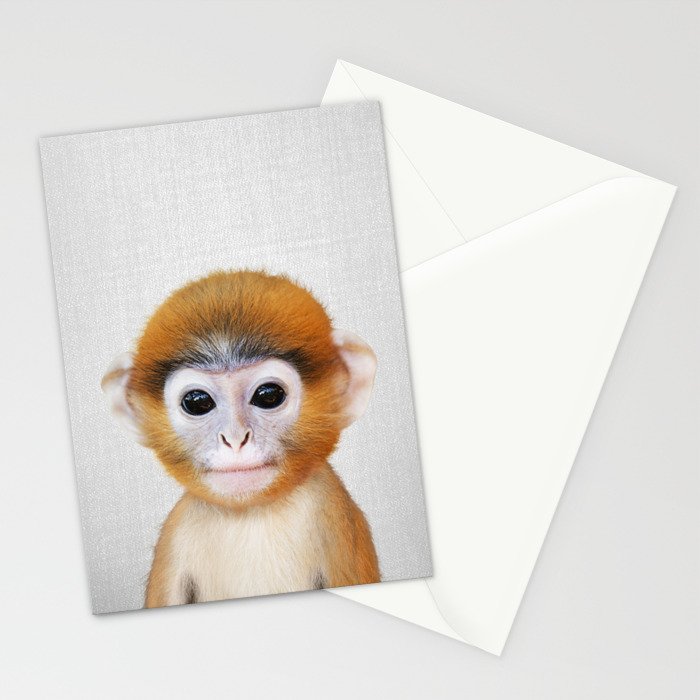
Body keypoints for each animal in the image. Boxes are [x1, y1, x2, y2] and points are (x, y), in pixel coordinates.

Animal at [101, 270, 381, 608]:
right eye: (197, 402)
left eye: (268, 395)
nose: (235, 439)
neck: (250, 513)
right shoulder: (175, 536)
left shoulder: (334, 520)